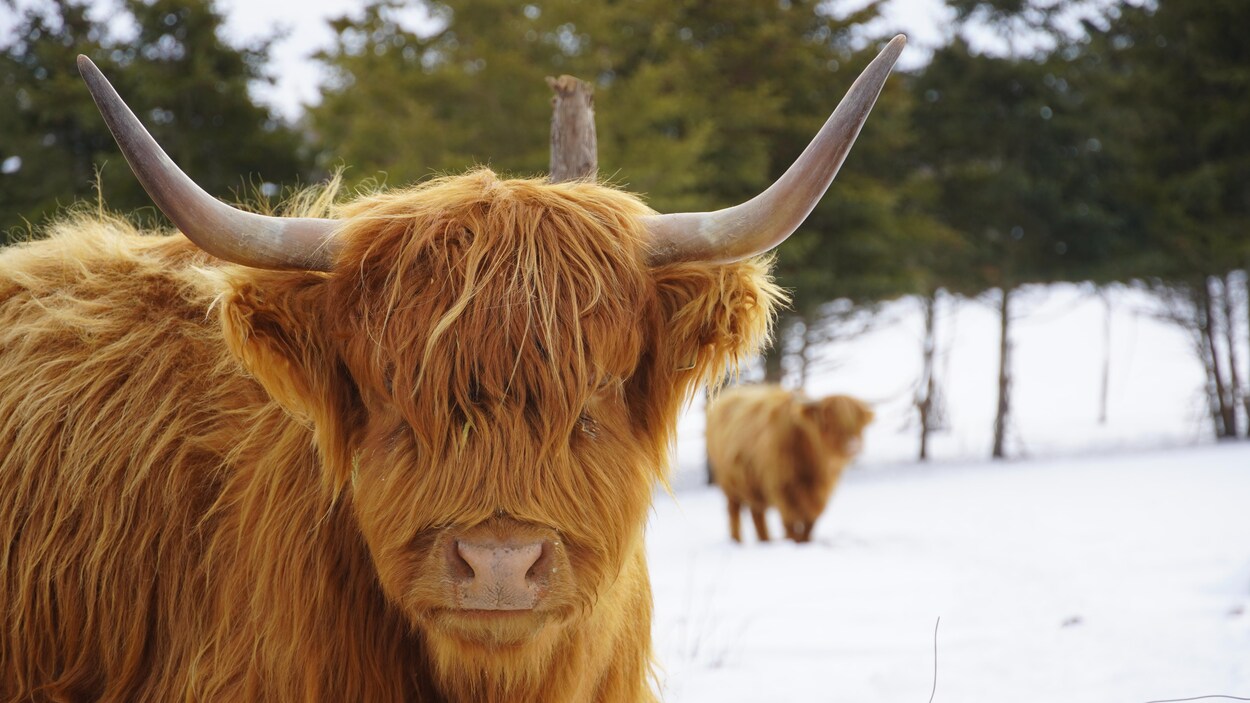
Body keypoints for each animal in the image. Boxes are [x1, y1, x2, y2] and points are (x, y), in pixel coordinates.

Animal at [707, 385, 875, 544]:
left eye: (858, 423)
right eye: (828, 421)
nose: (853, 446)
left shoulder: (819, 495)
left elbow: (809, 524)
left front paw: (805, 542)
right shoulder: (783, 490)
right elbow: (790, 524)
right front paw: (793, 541)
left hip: (753, 484)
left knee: (757, 513)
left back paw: (766, 541)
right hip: (730, 485)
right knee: (734, 511)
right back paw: (737, 541)